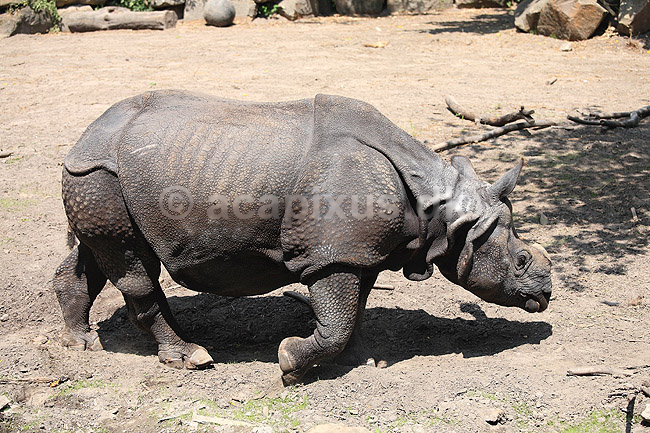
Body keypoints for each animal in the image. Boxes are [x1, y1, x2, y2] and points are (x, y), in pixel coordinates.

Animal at [54, 90, 552, 385]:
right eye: (521, 260)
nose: (546, 296)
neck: (444, 207)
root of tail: (83, 135)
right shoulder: (332, 254)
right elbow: (337, 322)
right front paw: (289, 363)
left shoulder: (357, 252)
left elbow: (352, 313)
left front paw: (358, 359)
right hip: (100, 173)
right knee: (132, 265)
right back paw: (190, 356)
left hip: (100, 177)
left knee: (100, 254)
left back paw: (80, 343)